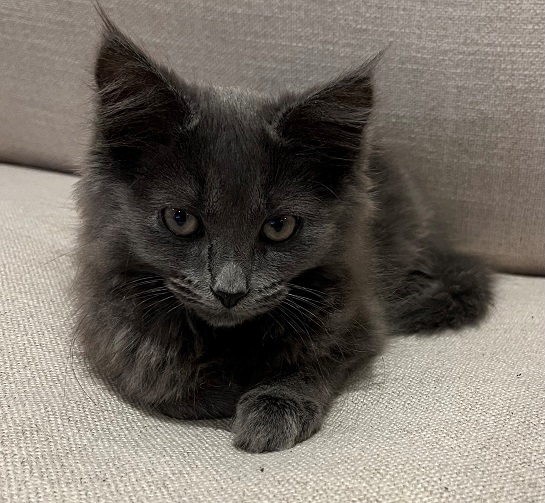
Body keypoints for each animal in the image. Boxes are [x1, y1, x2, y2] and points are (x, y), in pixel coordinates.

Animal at [74, 12, 492, 453]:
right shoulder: (107, 321)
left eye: (279, 227)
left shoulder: (358, 314)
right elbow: (159, 375)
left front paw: (272, 407)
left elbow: (315, 360)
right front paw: (228, 386)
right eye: (180, 219)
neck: (229, 336)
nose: (229, 292)